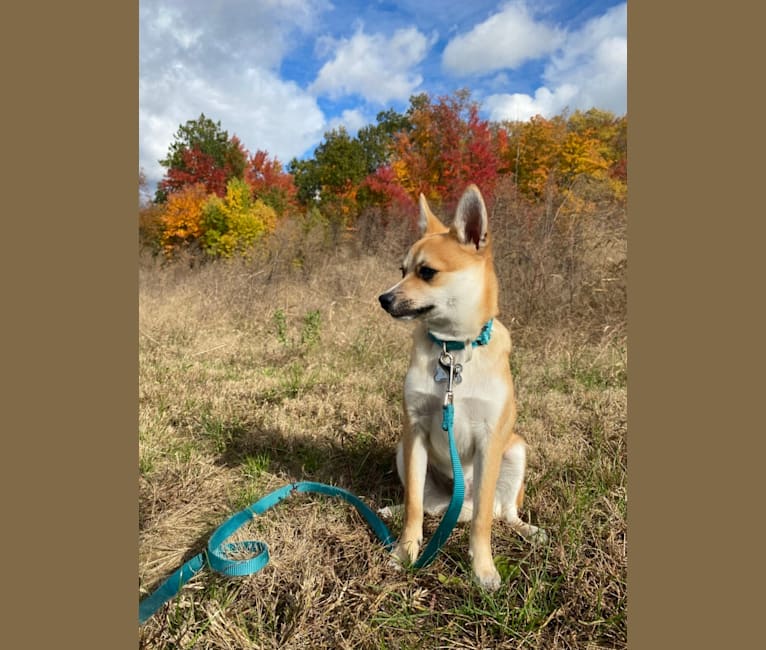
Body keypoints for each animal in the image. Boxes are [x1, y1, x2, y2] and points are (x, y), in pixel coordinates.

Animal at [378, 181, 544, 588]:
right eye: (401, 270)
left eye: (427, 272)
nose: (384, 299)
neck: (452, 351)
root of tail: (459, 501)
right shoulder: (416, 432)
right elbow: (415, 506)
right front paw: (405, 551)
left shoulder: (490, 441)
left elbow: (484, 519)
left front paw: (482, 569)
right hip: (403, 449)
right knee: (427, 505)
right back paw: (396, 510)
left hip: (516, 450)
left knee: (502, 511)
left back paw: (527, 530)